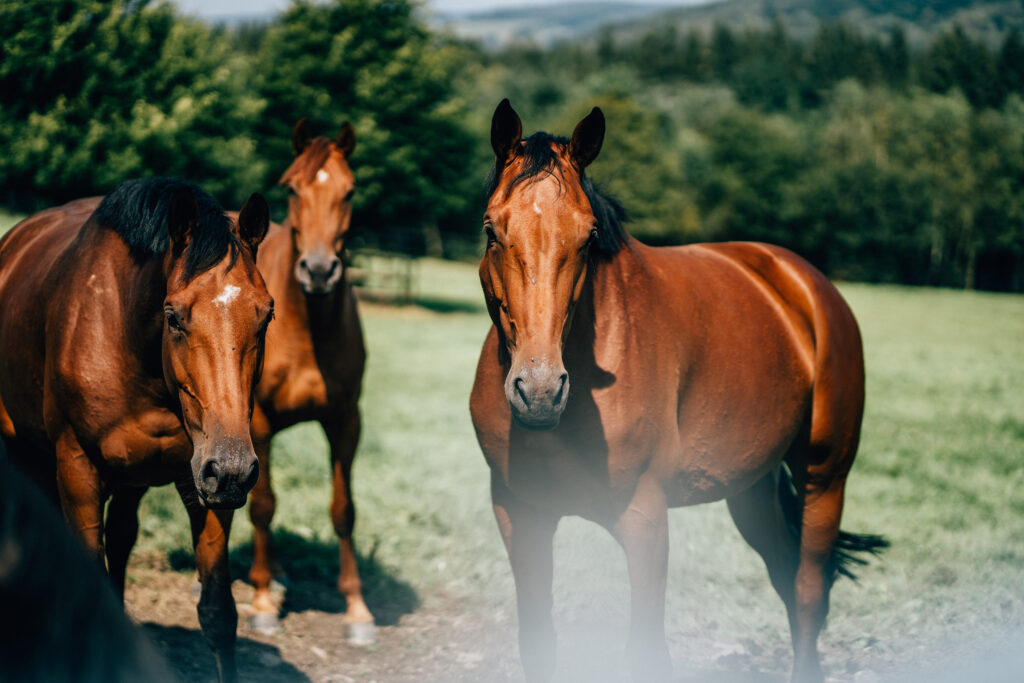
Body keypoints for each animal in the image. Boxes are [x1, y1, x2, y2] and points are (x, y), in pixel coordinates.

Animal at [0, 178, 274, 683]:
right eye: (174, 316)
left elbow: (218, 614)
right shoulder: (77, 470)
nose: (231, 467)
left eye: (266, 315)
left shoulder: (202, 484)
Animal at [241, 117, 374, 643]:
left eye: (350, 190)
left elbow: (344, 510)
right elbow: (262, 505)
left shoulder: (345, 422)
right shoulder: (257, 421)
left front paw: (357, 609)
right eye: (292, 188)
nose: (318, 271)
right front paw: (260, 603)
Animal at [468, 101, 884, 683]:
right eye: (491, 230)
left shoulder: (644, 519)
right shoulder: (519, 514)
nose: (542, 390)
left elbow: (646, 648)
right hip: (750, 491)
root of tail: (807, 285)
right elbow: (538, 642)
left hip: (824, 480)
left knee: (806, 593)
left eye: (588, 236)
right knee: (787, 578)